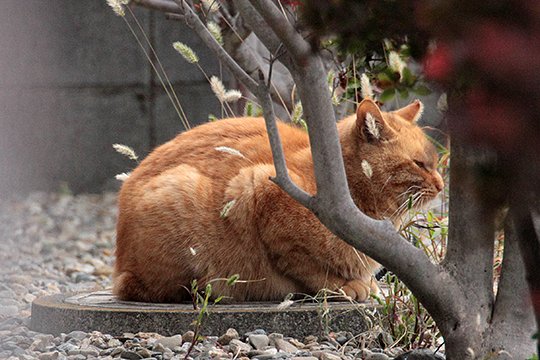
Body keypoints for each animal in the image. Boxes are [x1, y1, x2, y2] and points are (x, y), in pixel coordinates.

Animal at [114, 99, 442, 304]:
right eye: (419, 164)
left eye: (436, 163)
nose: (441, 185)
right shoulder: (258, 189)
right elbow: (308, 267)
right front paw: (343, 285)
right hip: (181, 194)